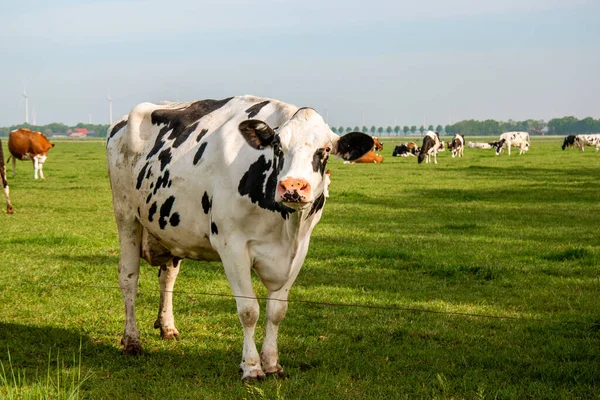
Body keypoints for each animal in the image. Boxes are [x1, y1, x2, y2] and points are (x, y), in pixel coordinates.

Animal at [105, 96, 372, 382]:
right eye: (278, 147)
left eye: (325, 150)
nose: (292, 187)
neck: (286, 227)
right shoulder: (231, 246)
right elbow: (249, 310)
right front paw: (252, 367)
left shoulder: (299, 250)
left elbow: (277, 311)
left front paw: (272, 363)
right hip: (126, 215)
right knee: (128, 277)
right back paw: (132, 341)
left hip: (170, 229)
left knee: (168, 278)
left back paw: (167, 327)